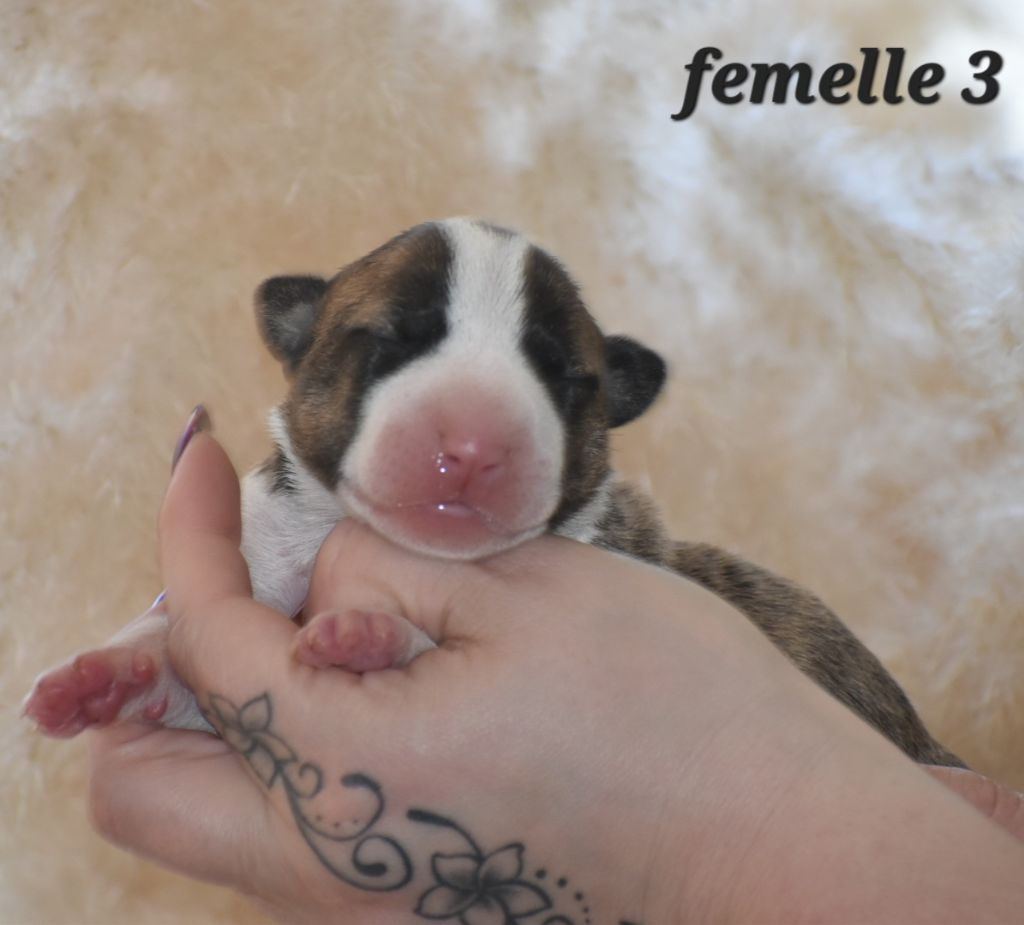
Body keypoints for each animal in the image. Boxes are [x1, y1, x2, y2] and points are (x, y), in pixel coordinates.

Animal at [24, 217, 964, 768]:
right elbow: (180, 666)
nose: (472, 445)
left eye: (563, 378)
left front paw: (371, 635)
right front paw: (112, 674)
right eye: (391, 340)